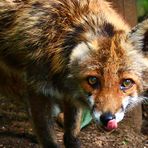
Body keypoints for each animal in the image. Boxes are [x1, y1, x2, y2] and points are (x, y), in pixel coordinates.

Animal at [0, 0, 147, 148]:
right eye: (92, 80)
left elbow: (72, 131)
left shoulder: (70, 95)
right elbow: (47, 136)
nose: (107, 119)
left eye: (126, 83)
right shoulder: (37, 88)